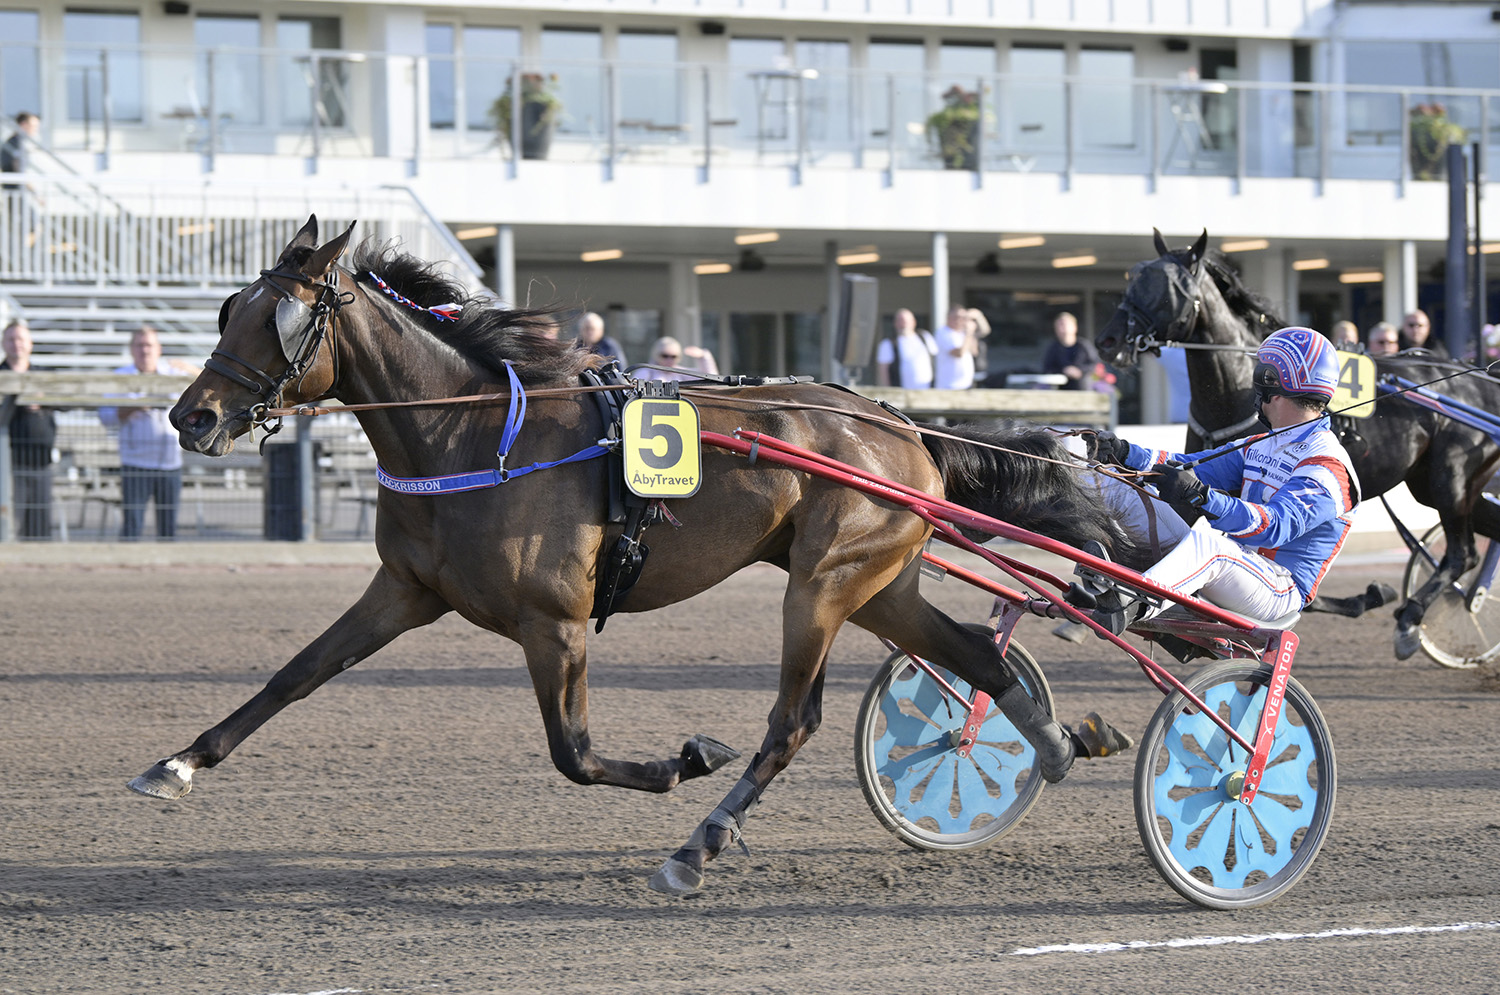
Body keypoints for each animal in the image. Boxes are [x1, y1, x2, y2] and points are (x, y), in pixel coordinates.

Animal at [129, 216, 1128, 894]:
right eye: (231, 307)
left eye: (280, 319)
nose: (191, 415)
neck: (473, 435)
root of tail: (905, 429)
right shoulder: (405, 588)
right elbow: (295, 673)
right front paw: (175, 764)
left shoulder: (555, 620)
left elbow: (573, 752)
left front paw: (688, 758)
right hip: (878, 582)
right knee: (978, 655)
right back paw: (1054, 745)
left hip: (823, 584)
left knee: (793, 721)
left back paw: (697, 845)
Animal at [1092, 228, 1500, 657]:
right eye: (1133, 277)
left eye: (1170, 287)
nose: (1108, 341)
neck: (1234, 390)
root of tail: (1482, 380)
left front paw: (1369, 597)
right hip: (1440, 487)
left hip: (1449, 481)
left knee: (1461, 554)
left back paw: (1411, 618)